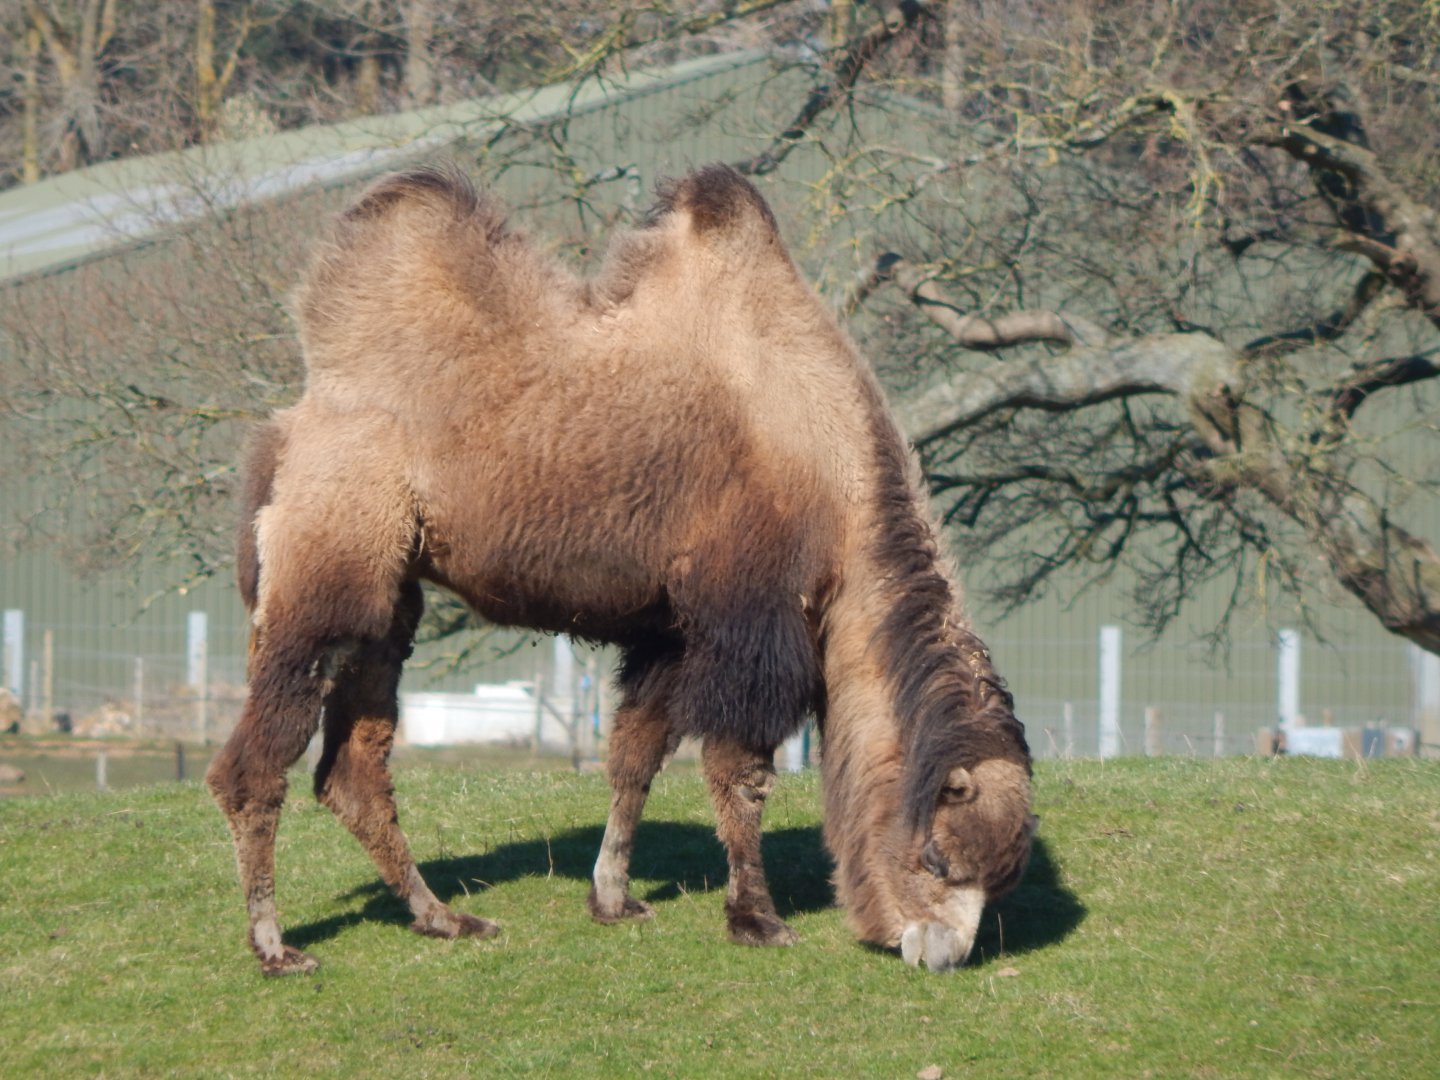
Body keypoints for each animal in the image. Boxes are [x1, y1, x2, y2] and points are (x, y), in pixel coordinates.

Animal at [206, 162, 1034, 976]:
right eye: (937, 861)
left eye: (1000, 879)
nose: (941, 956)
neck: (832, 479)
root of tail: (287, 430)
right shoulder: (749, 618)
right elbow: (740, 771)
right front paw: (757, 918)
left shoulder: (671, 629)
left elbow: (635, 756)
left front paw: (613, 897)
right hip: (326, 562)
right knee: (255, 763)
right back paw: (275, 946)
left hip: (390, 599)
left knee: (352, 768)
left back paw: (443, 917)